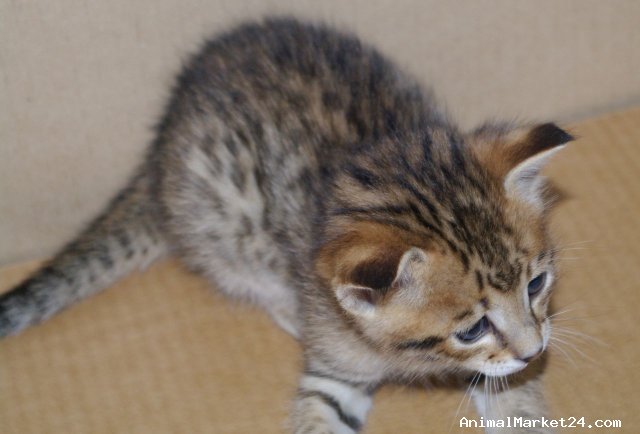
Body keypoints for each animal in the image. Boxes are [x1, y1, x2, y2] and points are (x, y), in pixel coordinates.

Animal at [0, 17, 573, 433]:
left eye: (536, 285)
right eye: (471, 328)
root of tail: (159, 148)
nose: (534, 350)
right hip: (219, 224)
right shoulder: (332, 368)